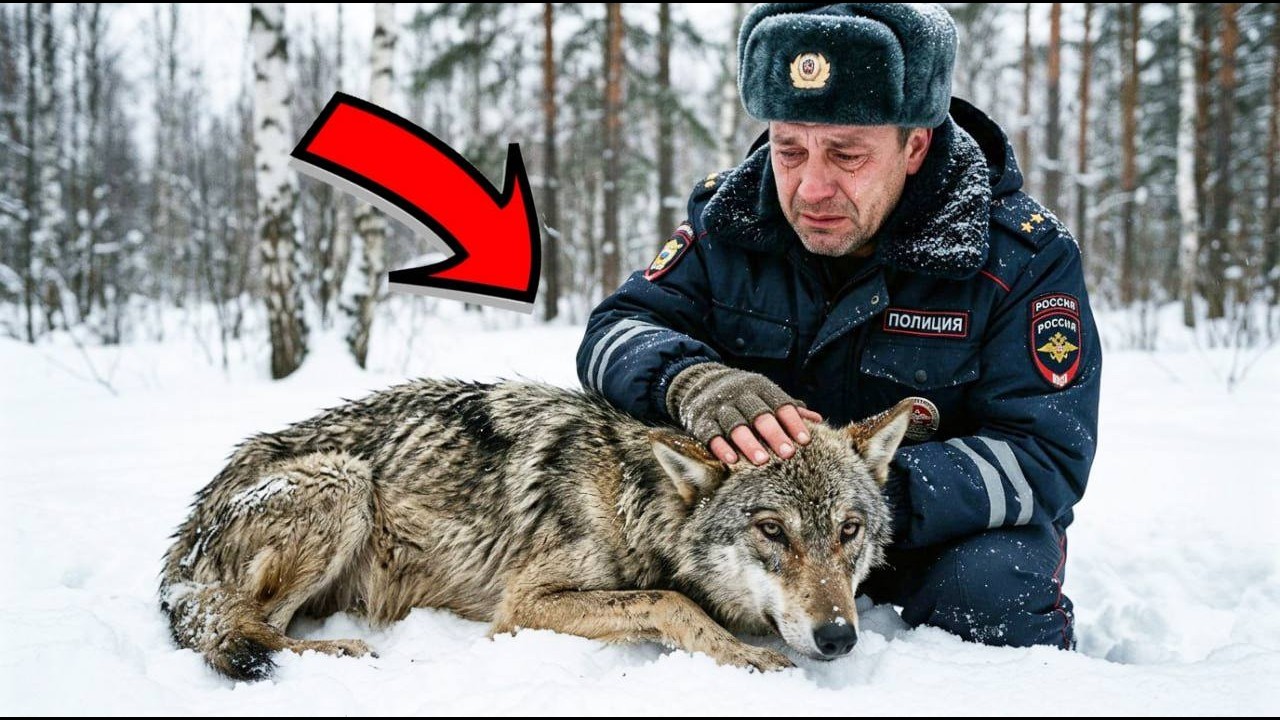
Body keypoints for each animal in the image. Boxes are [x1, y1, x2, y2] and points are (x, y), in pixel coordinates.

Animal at [160, 379, 913, 680]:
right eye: (772, 531)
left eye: (848, 531)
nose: (839, 638)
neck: (632, 500)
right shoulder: (524, 606)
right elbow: (671, 601)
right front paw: (744, 656)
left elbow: (668, 598)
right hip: (344, 481)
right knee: (248, 626)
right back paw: (336, 651)